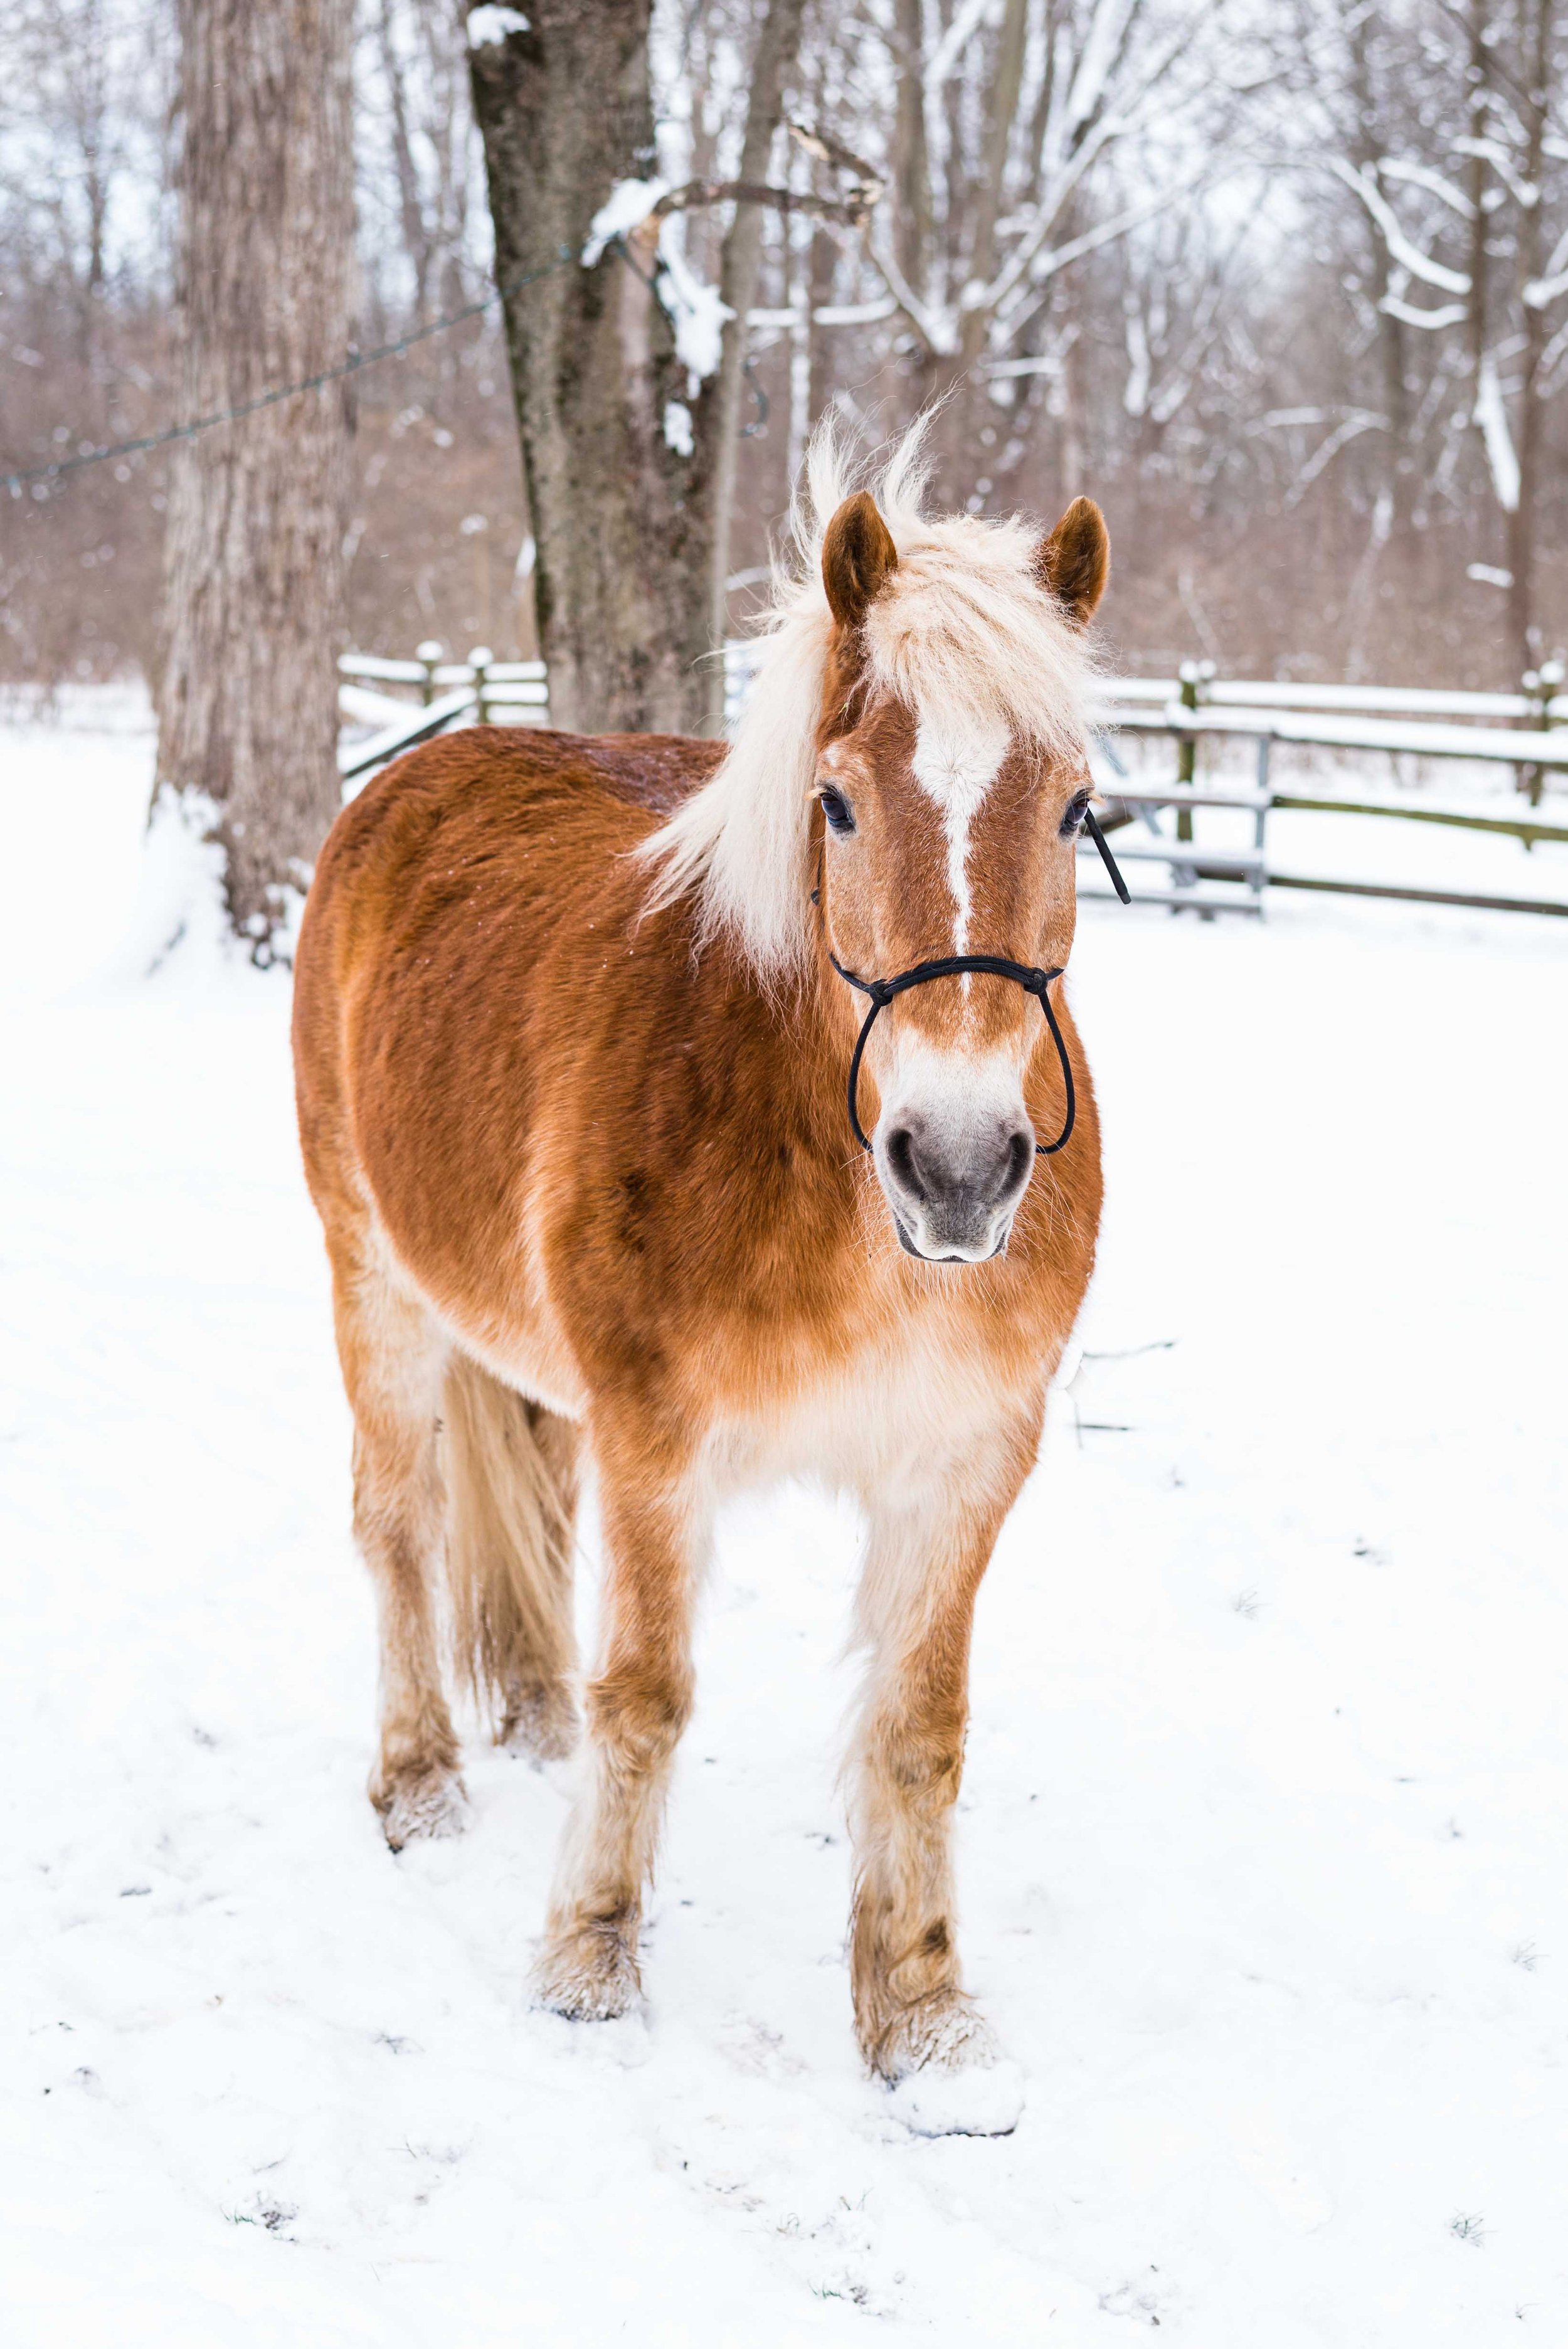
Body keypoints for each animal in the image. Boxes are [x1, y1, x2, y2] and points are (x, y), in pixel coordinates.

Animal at [291, 432, 1103, 2104]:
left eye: (1072, 809)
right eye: (839, 805)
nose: (959, 1166)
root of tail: (413, 775)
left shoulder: (968, 1459)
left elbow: (919, 1731)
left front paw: (923, 2019)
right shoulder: (660, 1438)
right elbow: (651, 1694)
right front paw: (589, 1965)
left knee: (529, 1510)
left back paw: (531, 1724)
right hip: (372, 1279)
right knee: (399, 1525)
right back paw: (422, 1784)